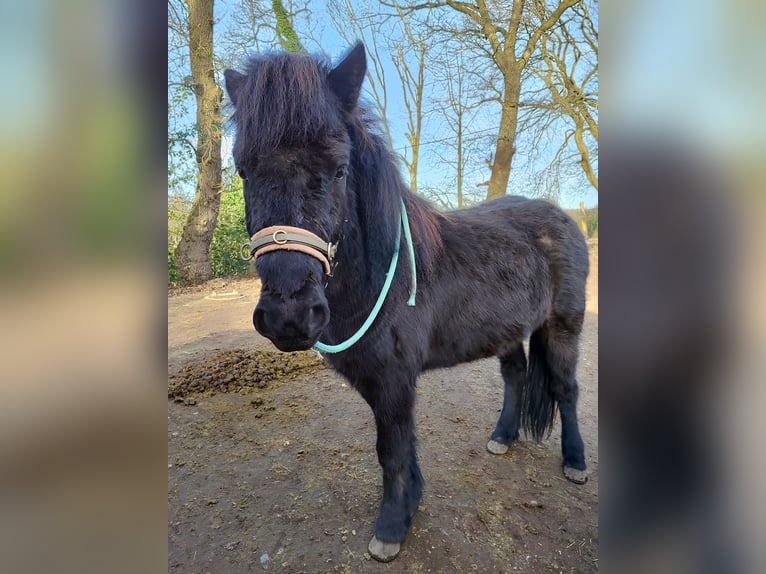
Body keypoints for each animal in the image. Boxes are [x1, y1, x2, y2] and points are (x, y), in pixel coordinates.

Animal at [223, 43, 589, 562]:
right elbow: (401, 446)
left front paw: (392, 527)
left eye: (339, 169)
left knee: (565, 389)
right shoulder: (379, 380)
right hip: (508, 330)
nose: (288, 317)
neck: (385, 278)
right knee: (516, 376)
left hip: (563, 326)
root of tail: (564, 216)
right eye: (244, 171)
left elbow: (392, 450)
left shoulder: (395, 379)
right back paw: (501, 438)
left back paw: (575, 461)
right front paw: (411, 501)